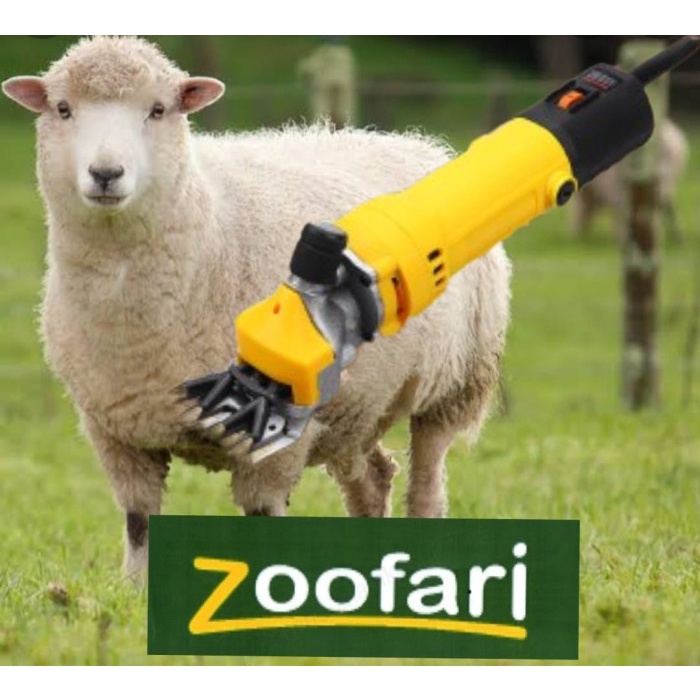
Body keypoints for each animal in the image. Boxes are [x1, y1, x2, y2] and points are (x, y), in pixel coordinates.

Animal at [2, 36, 511, 579]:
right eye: (63, 109)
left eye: (158, 110)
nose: (105, 174)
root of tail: (412, 142)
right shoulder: (117, 431)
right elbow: (139, 521)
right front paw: (135, 591)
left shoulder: (275, 439)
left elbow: (263, 515)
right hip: (356, 405)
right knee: (373, 478)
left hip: (454, 382)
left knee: (427, 483)